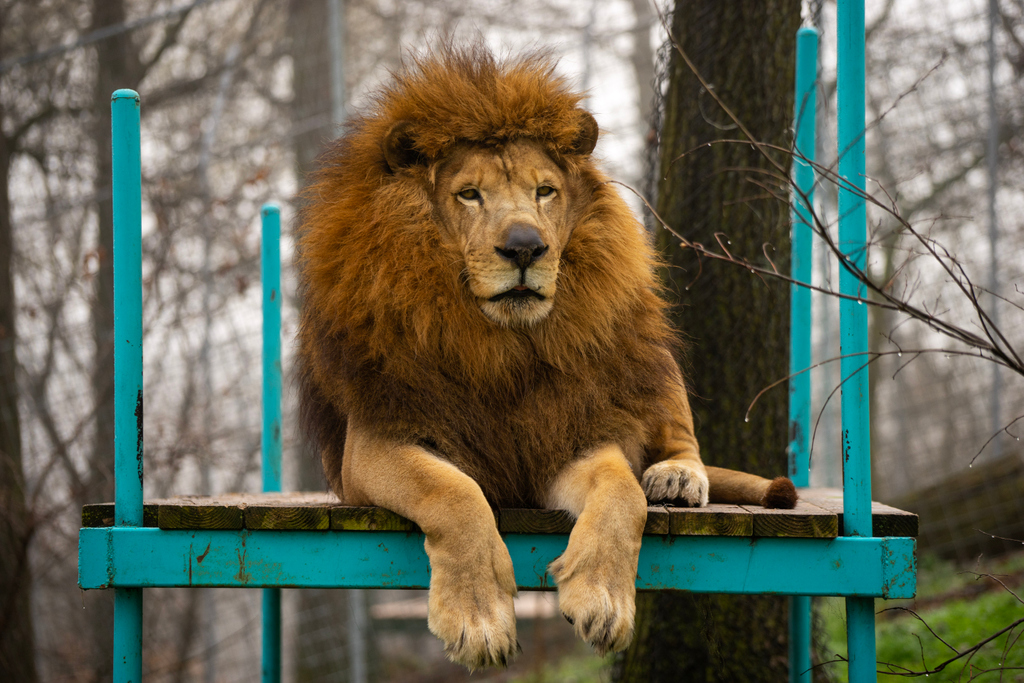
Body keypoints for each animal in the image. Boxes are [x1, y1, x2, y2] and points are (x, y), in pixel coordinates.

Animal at [297, 46, 796, 670]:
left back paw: (677, 476)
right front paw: (478, 619)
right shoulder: (375, 444)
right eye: (469, 194)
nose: (525, 248)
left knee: (680, 442)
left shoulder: (572, 431)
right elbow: (454, 493)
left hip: (645, 354)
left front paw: (604, 600)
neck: (504, 346)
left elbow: (621, 492)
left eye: (544, 192)